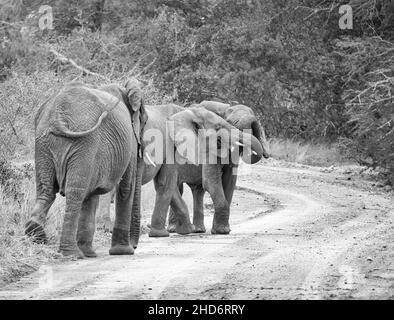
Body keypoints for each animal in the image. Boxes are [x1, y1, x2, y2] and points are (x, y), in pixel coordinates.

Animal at [25, 79, 147, 258]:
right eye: (144, 122)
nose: (135, 246)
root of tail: (57, 115)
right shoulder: (128, 142)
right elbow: (126, 187)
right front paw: (123, 252)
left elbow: (91, 196)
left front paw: (90, 254)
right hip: (85, 143)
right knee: (75, 193)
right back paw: (71, 253)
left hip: (44, 144)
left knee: (46, 191)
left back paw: (37, 234)